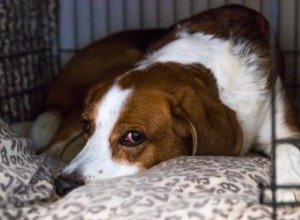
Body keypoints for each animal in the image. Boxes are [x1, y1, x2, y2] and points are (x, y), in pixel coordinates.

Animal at [31, 4, 300, 200]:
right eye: (87, 126)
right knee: (50, 148)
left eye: (134, 136)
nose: (63, 185)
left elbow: (287, 149)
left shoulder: (281, 120)